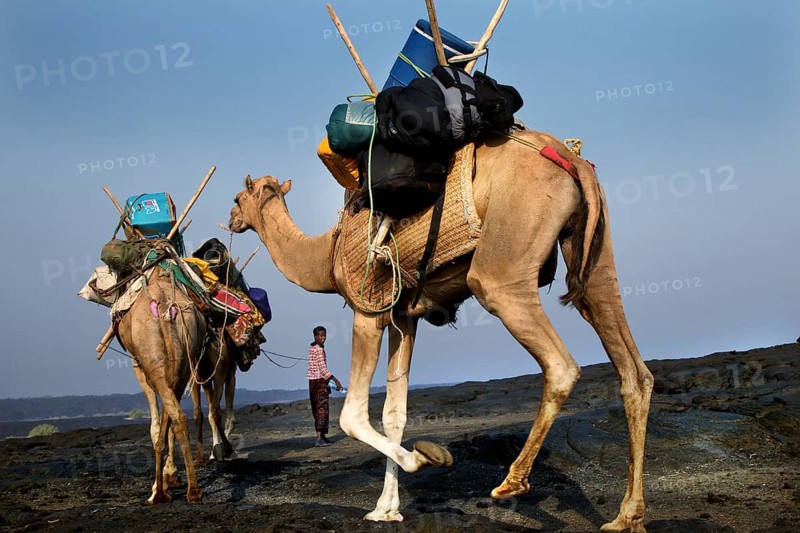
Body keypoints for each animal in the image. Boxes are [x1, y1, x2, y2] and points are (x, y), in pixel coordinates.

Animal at [117, 266, 206, 504]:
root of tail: (166, 308)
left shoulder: (139, 366)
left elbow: (156, 426)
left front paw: (159, 485)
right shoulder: (178, 370)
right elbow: (167, 422)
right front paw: (169, 477)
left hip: (152, 356)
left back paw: (158, 495)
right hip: (184, 352)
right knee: (179, 417)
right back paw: (193, 490)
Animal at [229, 129, 654, 532]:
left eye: (236, 198)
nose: (230, 221)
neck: (326, 253)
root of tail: (572, 160)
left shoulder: (368, 309)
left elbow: (353, 416)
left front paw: (425, 458)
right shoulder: (404, 317)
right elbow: (395, 415)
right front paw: (386, 510)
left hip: (504, 261)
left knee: (560, 363)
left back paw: (512, 482)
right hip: (595, 258)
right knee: (633, 369)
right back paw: (626, 517)